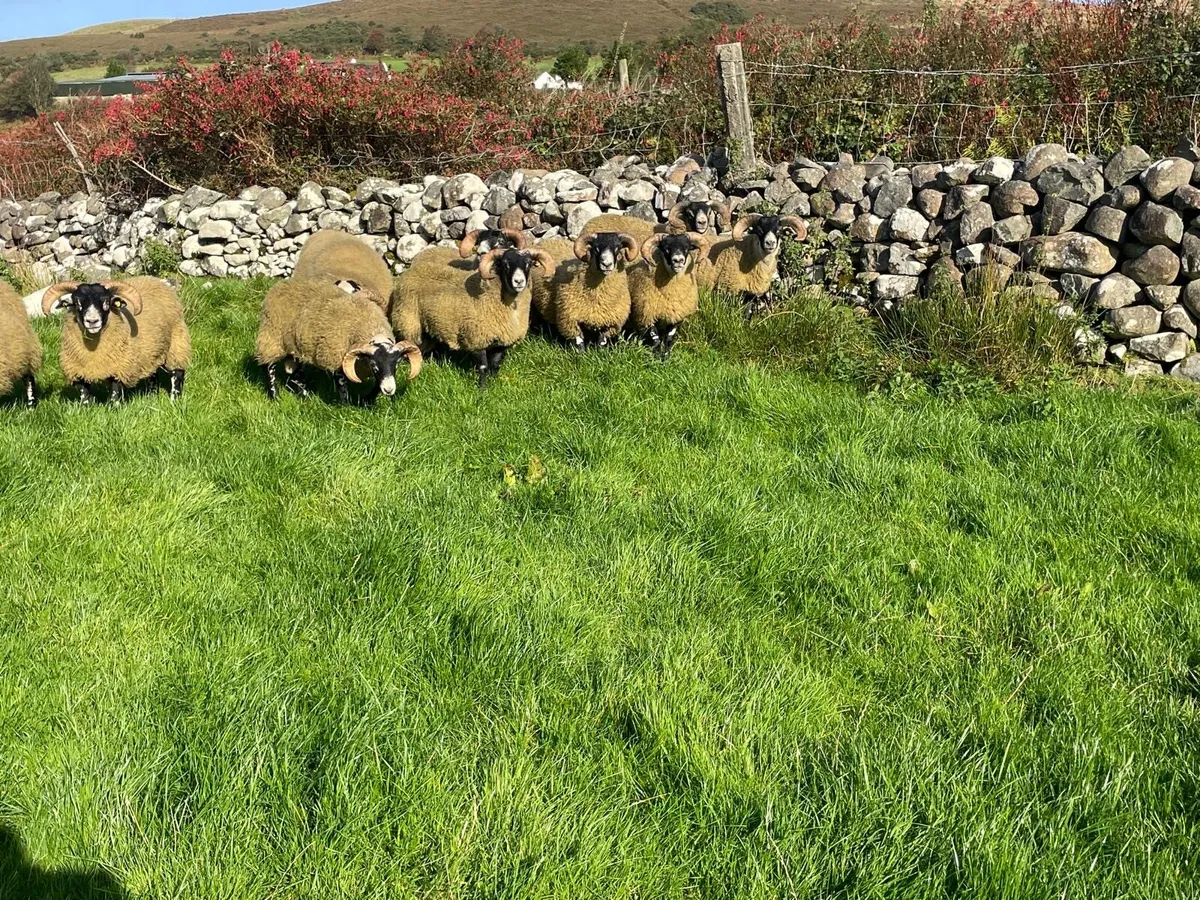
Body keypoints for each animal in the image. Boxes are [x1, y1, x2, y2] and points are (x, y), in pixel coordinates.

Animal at [41, 277, 191, 405]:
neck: (93, 351)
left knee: (177, 374)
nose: (92, 321)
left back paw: (174, 400)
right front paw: (86, 408)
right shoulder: (78, 371)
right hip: (151, 351)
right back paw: (151, 397)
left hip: (177, 343)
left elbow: (115, 393)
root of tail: (155, 280)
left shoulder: (119, 368)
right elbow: (84, 395)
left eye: (107, 302)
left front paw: (114, 408)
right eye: (77, 302)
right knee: (152, 375)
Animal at [256, 277, 422, 404]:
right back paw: (275, 397)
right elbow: (342, 388)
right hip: (272, 337)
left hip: (298, 346)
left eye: (397, 364)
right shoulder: (337, 358)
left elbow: (376, 386)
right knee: (269, 367)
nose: (389, 390)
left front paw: (367, 400)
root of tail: (283, 283)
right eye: (374, 365)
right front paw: (346, 407)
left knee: (297, 373)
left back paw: (306, 397)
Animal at [390, 245, 555, 387]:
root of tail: (409, 271)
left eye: (529, 264)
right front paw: (483, 390)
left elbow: (495, 365)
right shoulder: (476, 338)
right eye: (505, 264)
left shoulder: (501, 342)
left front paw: (493, 385)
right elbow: (483, 367)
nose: (519, 281)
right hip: (409, 322)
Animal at [626, 231, 709, 360]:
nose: (678, 260)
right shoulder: (648, 314)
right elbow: (655, 339)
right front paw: (656, 358)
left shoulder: (675, 316)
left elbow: (669, 339)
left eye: (686, 248)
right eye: (666, 249)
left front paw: (666, 358)